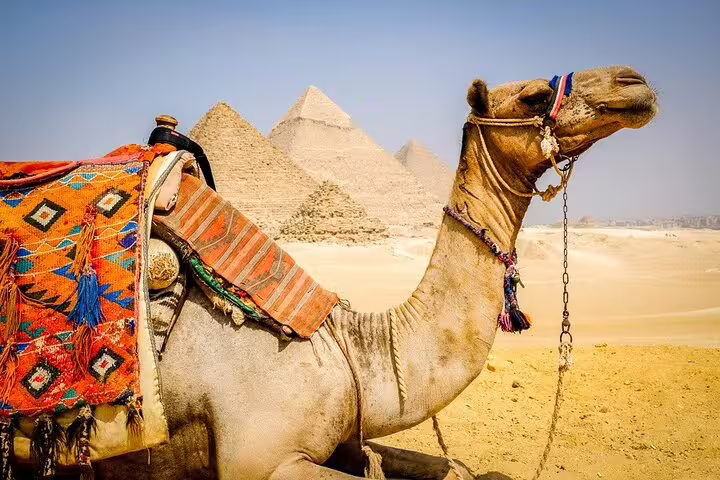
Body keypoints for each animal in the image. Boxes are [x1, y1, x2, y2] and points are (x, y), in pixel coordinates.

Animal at [35, 65, 656, 480]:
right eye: (534, 93)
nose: (633, 83)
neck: (344, 345)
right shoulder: (260, 459)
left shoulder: (346, 439)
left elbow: (451, 467)